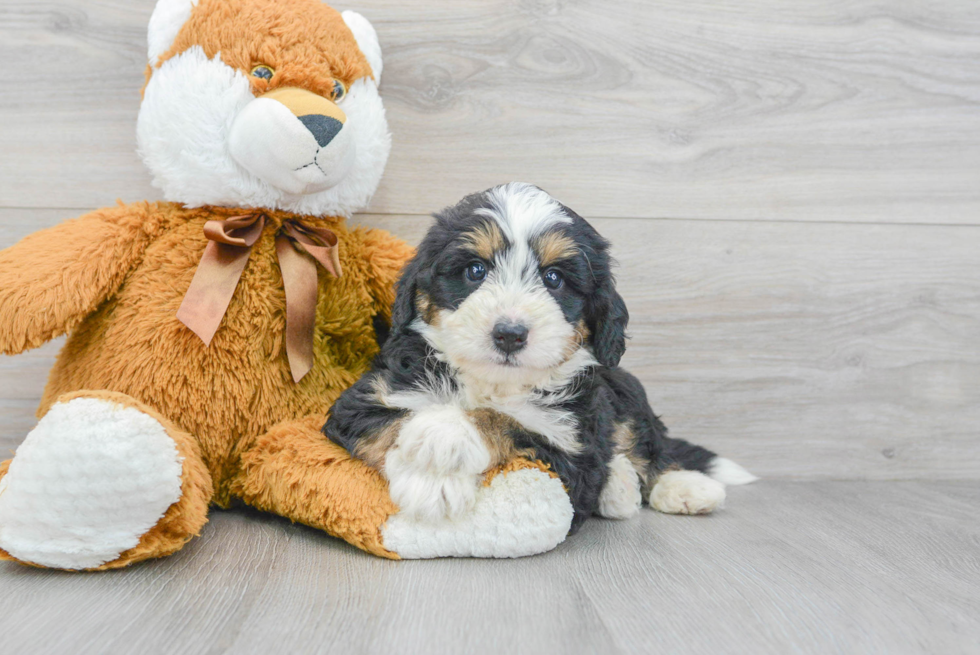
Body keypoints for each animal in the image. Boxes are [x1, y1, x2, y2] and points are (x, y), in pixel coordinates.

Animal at [326, 182, 756, 532]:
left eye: (554, 278)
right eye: (475, 270)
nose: (510, 334)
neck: (494, 383)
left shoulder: (572, 453)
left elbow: (508, 422)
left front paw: (447, 435)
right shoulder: (363, 400)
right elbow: (390, 424)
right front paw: (431, 475)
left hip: (623, 383)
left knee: (649, 441)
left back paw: (682, 486)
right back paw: (621, 487)